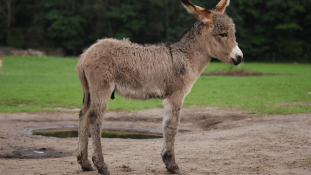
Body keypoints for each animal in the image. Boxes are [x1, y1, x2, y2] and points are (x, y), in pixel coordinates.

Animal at [76, 0, 244, 174]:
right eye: (223, 34)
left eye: (232, 33)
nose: (240, 57)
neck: (186, 56)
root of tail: (86, 54)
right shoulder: (176, 95)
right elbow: (172, 125)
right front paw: (171, 164)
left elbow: (167, 125)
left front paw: (167, 160)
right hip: (101, 89)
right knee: (95, 118)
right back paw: (101, 165)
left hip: (90, 92)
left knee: (83, 115)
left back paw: (85, 162)